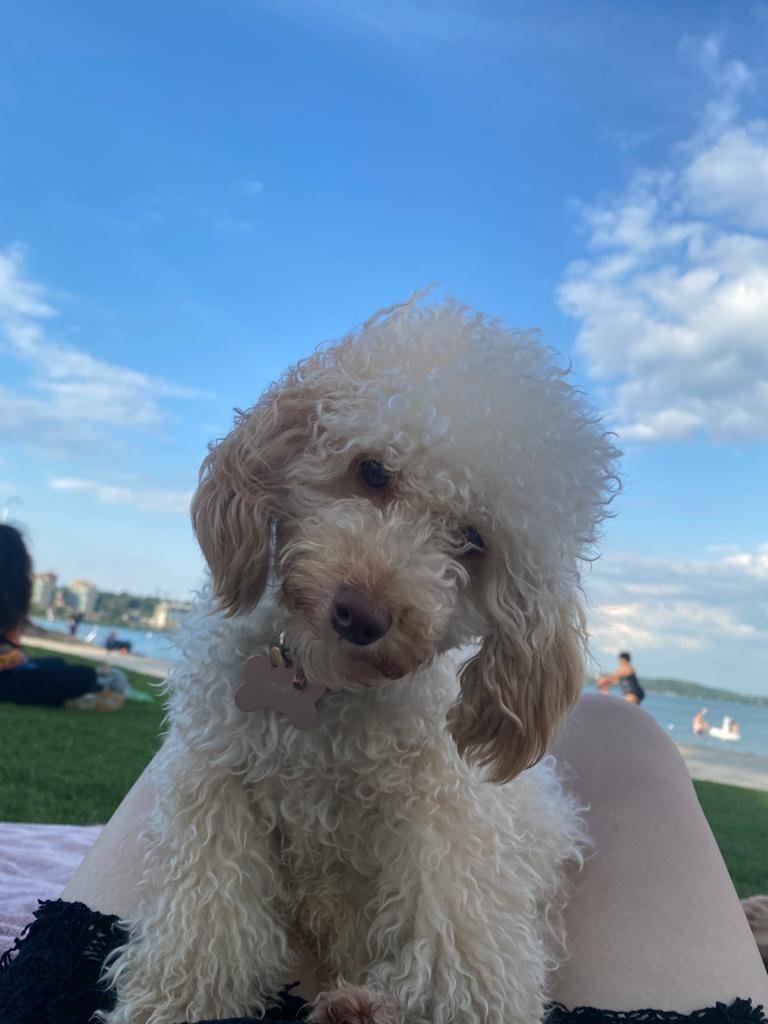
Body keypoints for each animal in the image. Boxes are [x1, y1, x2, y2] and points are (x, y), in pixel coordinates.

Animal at [106, 297, 618, 1024]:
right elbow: (206, 916)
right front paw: (178, 998)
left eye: (473, 541)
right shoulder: (216, 776)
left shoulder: (447, 815)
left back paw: (360, 1005)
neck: (317, 689)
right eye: (372, 470)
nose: (360, 615)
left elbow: (462, 955)